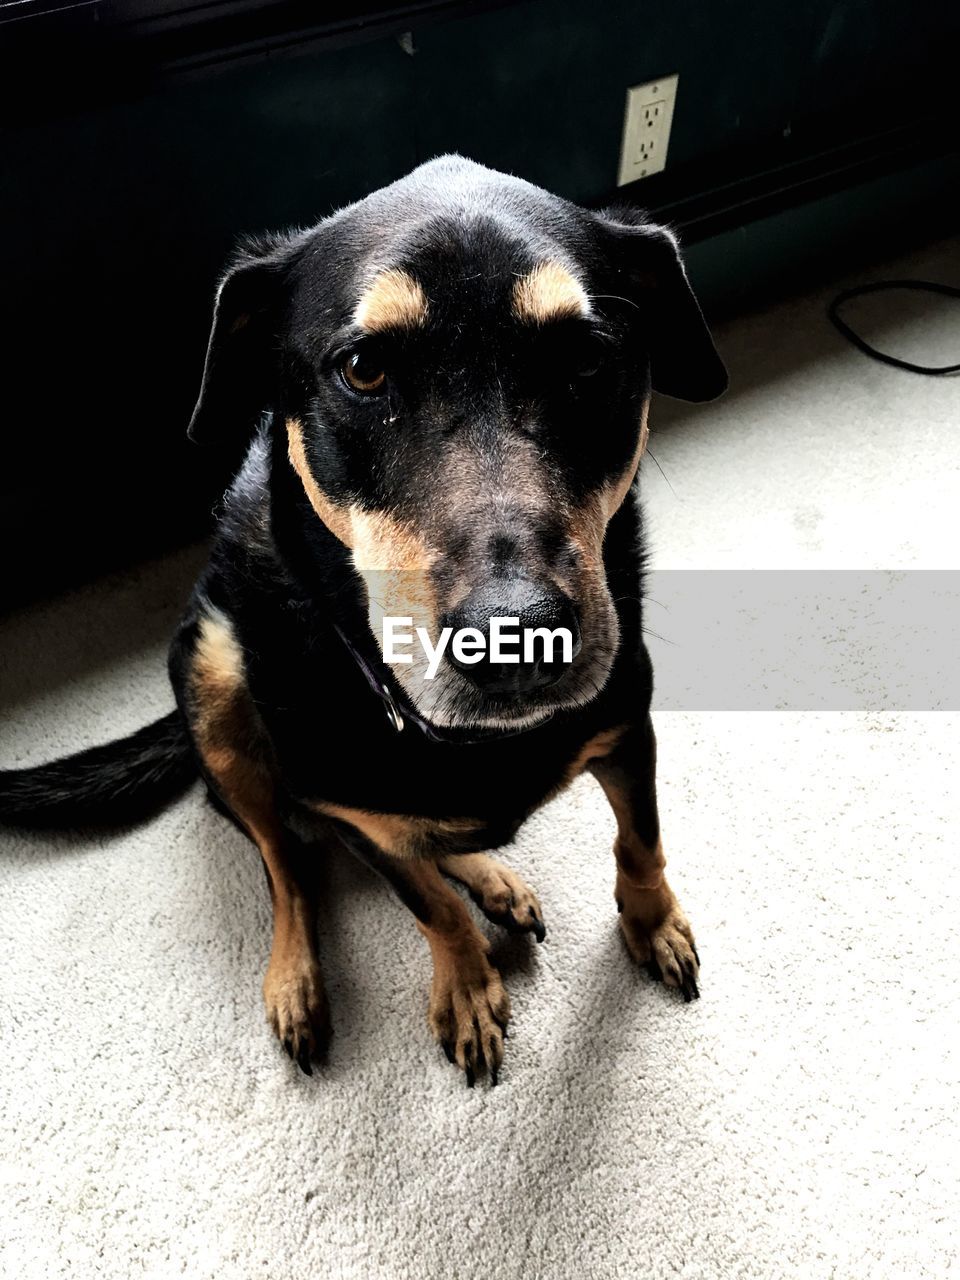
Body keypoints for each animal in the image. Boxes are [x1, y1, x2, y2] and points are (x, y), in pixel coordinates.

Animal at [0, 154, 727, 1085]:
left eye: (587, 360)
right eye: (365, 370)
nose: (518, 635)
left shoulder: (628, 727)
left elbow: (640, 842)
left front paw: (651, 921)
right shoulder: (355, 813)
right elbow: (424, 906)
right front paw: (466, 982)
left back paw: (491, 875)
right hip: (217, 682)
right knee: (286, 864)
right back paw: (299, 976)